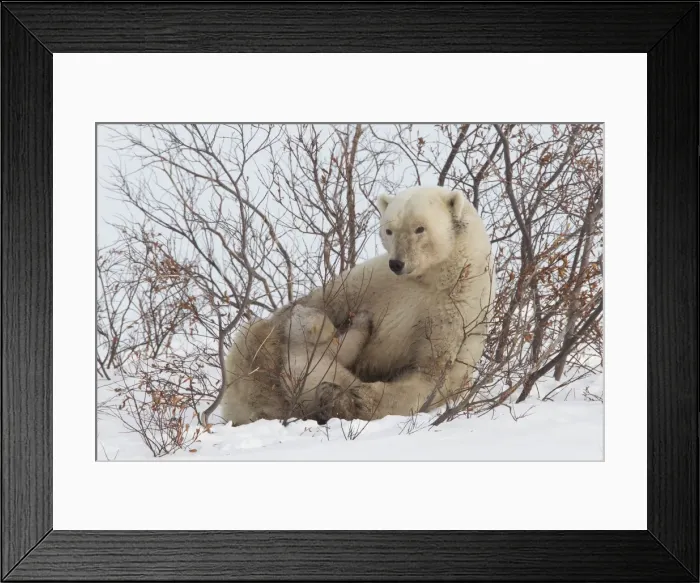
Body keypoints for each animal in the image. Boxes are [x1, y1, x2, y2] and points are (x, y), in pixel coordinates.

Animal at [218, 185, 495, 425]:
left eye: (420, 228)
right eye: (389, 230)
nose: (397, 263)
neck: (433, 278)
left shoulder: (453, 310)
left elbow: (428, 373)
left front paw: (358, 399)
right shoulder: (371, 282)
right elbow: (325, 304)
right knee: (252, 342)